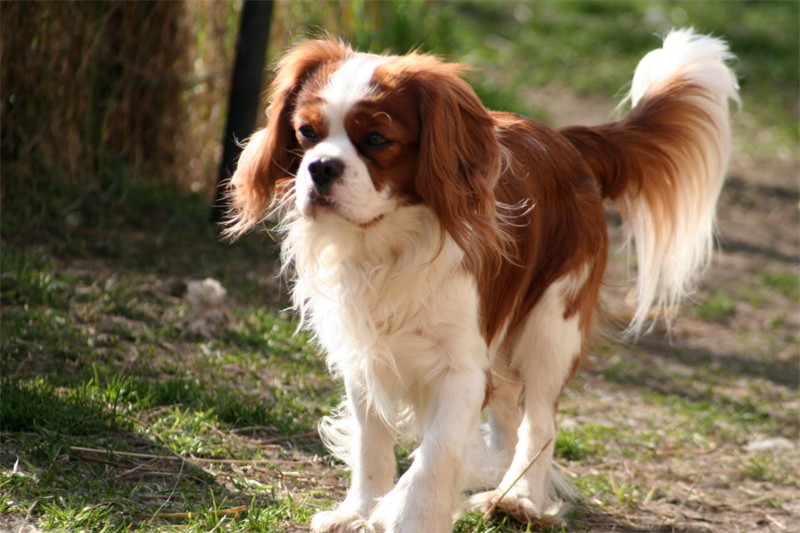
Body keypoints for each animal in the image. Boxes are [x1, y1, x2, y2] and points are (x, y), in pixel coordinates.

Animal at [223, 30, 736, 532]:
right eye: (306, 133)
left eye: (376, 138)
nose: (320, 167)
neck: (386, 243)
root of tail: (568, 141)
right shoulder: (363, 353)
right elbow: (373, 440)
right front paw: (361, 510)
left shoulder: (462, 368)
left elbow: (437, 452)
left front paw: (412, 517)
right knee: (508, 415)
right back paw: (503, 486)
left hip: (553, 326)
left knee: (540, 422)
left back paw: (521, 501)